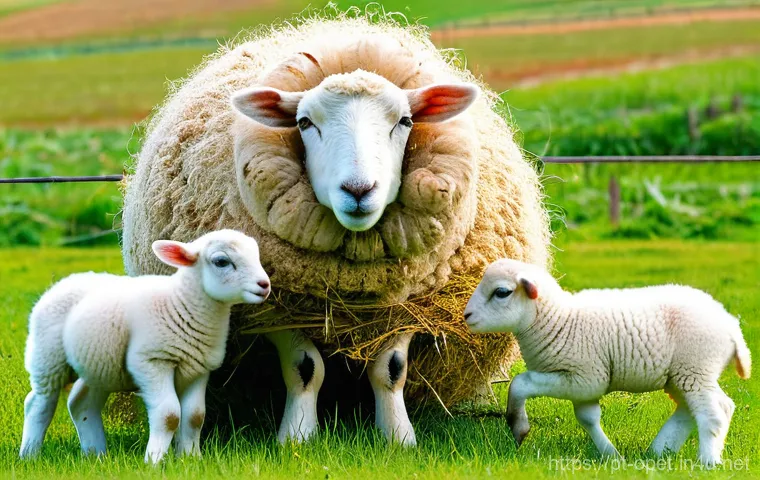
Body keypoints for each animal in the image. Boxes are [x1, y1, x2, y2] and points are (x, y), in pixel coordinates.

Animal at [19, 230, 271, 463]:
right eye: (221, 261)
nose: (265, 285)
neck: (180, 304)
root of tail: (63, 282)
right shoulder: (153, 361)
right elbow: (169, 415)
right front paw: (154, 461)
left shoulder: (199, 369)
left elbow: (195, 416)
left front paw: (191, 458)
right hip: (47, 357)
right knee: (39, 403)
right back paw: (29, 454)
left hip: (99, 365)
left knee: (81, 403)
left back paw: (96, 454)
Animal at [121, 11, 550, 446]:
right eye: (304, 122)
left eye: (405, 120)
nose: (358, 190)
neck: (355, 289)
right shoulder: (279, 308)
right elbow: (305, 368)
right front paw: (297, 435)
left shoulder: (405, 301)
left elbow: (391, 368)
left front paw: (397, 436)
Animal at [463, 258, 752, 467]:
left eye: (502, 292)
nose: (466, 315)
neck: (559, 320)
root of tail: (731, 325)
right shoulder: (584, 385)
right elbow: (588, 418)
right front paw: (611, 456)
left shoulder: (584, 377)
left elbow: (520, 383)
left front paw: (518, 428)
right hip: (684, 375)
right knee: (706, 407)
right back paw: (658, 452)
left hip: (694, 368)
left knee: (712, 412)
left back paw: (708, 462)